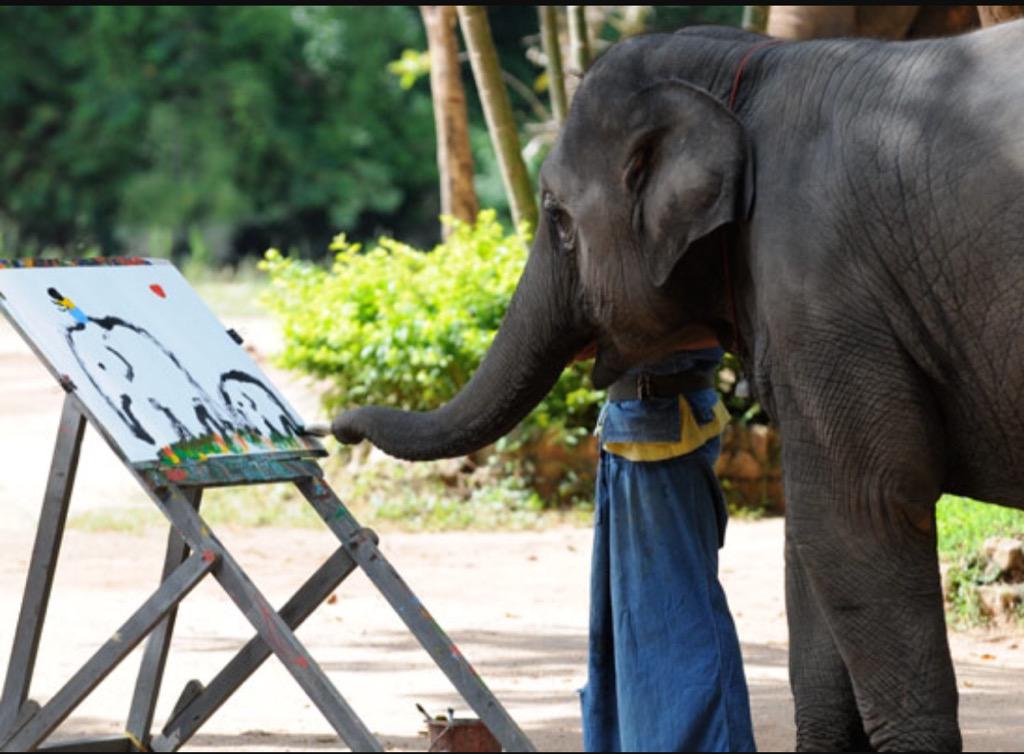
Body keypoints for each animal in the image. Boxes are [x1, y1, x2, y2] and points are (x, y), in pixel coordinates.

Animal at [332, 21, 1024, 751]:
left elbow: (855, 512)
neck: (747, 71)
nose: (338, 427)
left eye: (557, 218)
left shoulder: (823, 293)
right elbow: (809, 538)